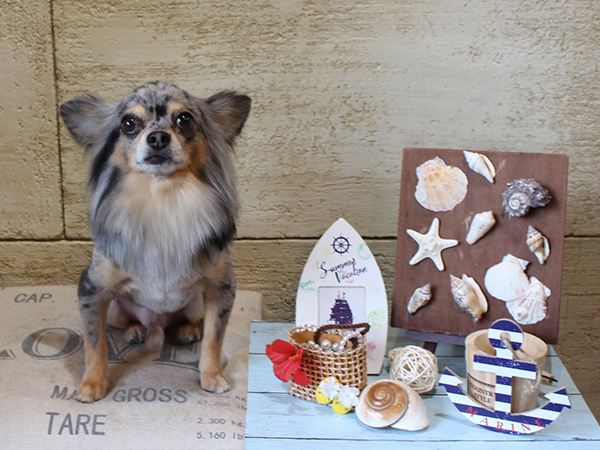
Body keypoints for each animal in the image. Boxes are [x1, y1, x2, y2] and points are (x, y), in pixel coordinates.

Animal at [60, 81, 251, 402]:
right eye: (129, 124)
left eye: (185, 119)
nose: (158, 137)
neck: (162, 199)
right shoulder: (92, 290)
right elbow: (94, 344)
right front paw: (92, 383)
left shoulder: (220, 288)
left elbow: (214, 339)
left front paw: (212, 376)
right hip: (114, 309)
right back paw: (136, 330)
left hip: (196, 303)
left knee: (194, 322)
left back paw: (187, 330)